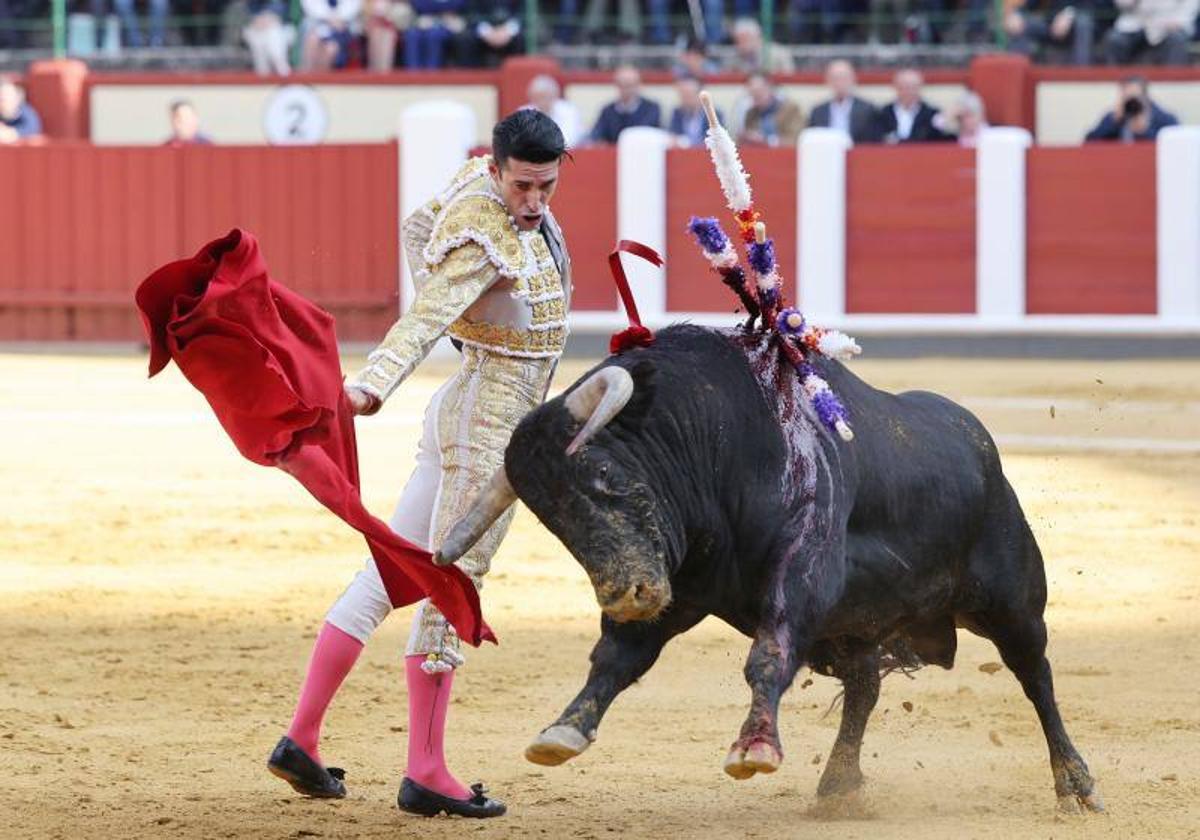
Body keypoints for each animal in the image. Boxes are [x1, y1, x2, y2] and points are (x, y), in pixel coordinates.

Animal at [436, 324, 1099, 811]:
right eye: (549, 518)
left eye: (604, 476)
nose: (626, 595)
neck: (717, 441)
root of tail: (980, 444)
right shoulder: (678, 586)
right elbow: (618, 658)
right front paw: (563, 732)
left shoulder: (799, 569)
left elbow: (768, 655)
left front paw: (754, 747)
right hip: (848, 630)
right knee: (866, 686)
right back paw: (838, 786)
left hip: (1011, 603)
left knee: (1035, 675)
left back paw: (1075, 782)